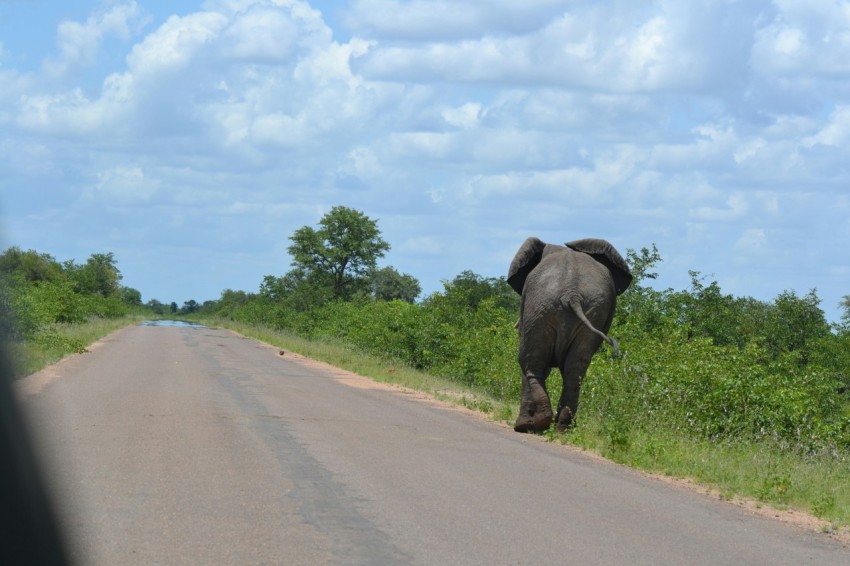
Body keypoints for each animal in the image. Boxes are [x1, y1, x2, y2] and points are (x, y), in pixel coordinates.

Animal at [504, 237, 628, 432]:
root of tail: (572, 294)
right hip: (591, 310)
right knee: (575, 370)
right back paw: (562, 427)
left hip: (539, 307)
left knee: (529, 363)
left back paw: (529, 425)